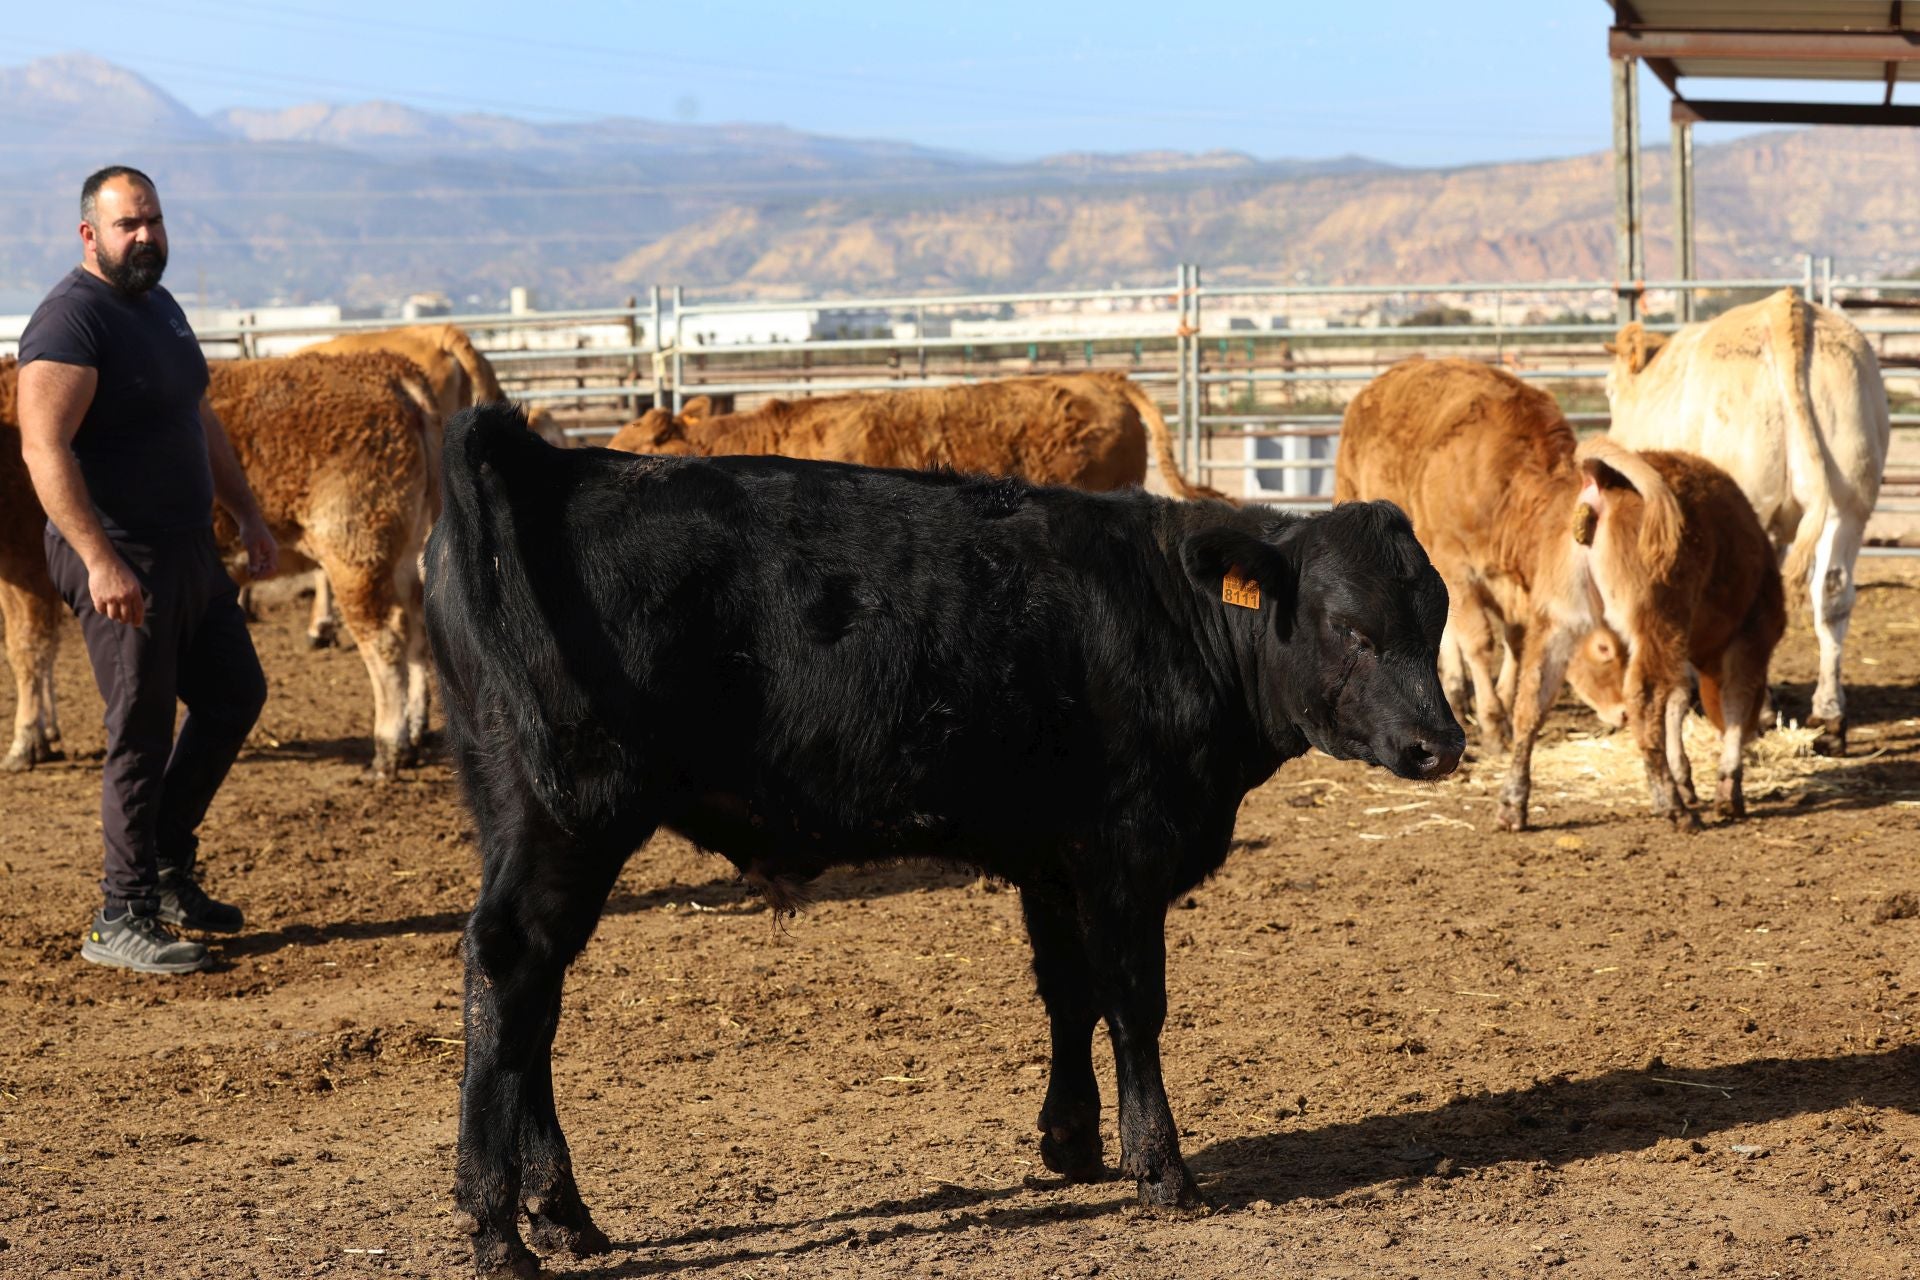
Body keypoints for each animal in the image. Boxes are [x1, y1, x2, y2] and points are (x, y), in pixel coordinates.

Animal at [428, 402, 1459, 1280]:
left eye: (1437, 616)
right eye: (1350, 628)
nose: (1439, 743)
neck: (1170, 618)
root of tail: (550, 461)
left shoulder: (1056, 859)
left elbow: (1067, 993)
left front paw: (1072, 1141)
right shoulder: (1126, 853)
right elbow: (1134, 1005)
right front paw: (1161, 1167)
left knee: (534, 1001)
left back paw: (562, 1215)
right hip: (569, 816)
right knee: (509, 971)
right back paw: (497, 1227)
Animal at [1336, 358, 1781, 832]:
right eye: (1603, 650)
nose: (1619, 715)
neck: (1504, 485)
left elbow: (1514, 649)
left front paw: (1499, 703)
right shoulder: (1458, 570)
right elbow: (1480, 642)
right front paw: (1492, 723)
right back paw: (1672, 803)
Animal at [1605, 287, 1889, 752]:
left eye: (1609, 390)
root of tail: (1785, 308)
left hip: (1751, 505)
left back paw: (1760, 712)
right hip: (1849, 503)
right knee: (1832, 592)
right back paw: (1829, 715)